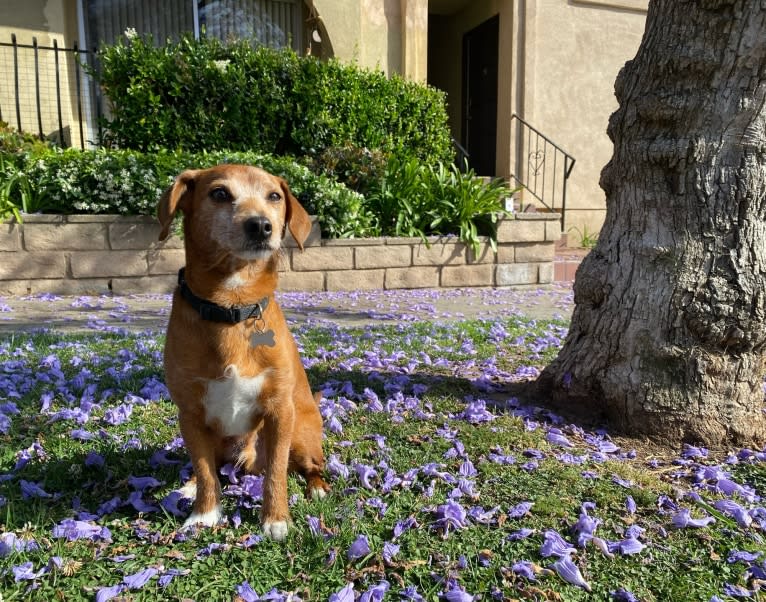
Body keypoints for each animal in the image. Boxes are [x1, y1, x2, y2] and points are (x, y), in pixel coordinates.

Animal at [159, 164, 330, 540]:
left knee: (307, 466)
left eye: (274, 196)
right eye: (220, 193)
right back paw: (190, 484)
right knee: (211, 466)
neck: (232, 305)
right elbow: (206, 471)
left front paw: (276, 519)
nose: (261, 225)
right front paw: (204, 514)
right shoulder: (190, 415)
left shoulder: (279, 413)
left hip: (302, 435)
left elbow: (277, 473)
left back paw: (317, 487)